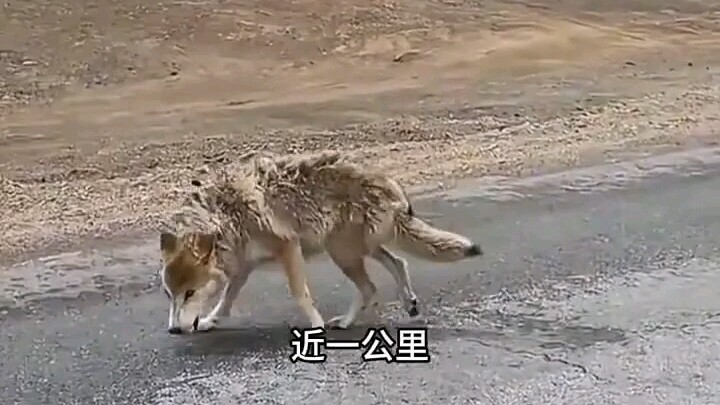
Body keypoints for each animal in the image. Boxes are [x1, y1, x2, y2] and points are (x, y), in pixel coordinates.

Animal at [160, 151, 483, 334]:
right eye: (169, 294)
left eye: (190, 293)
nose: (173, 331)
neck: (226, 216)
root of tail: (390, 185)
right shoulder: (243, 266)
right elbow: (226, 300)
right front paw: (210, 321)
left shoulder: (288, 249)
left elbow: (300, 295)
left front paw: (315, 328)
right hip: (355, 250)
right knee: (397, 263)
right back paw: (408, 302)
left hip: (342, 252)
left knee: (371, 286)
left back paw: (345, 322)